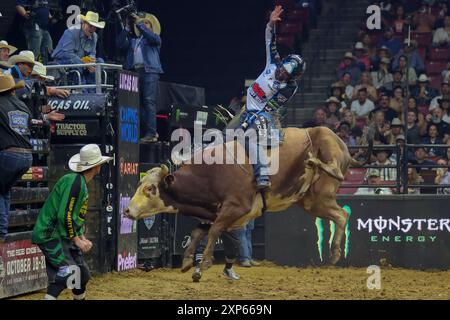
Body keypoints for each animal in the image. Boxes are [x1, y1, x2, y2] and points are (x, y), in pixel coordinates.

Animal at [125, 126, 362, 272]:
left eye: (150, 188)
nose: (127, 211)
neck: (210, 175)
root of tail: (343, 145)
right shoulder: (212, 210)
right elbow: (198, 232)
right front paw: (186, 261)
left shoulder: (236, 207)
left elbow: (214, 230)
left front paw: (204, 263)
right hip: (313, 201)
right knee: (341, 215)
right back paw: (334, 254)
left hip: (326, 152)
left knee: (339, 202)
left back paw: (317, 162)